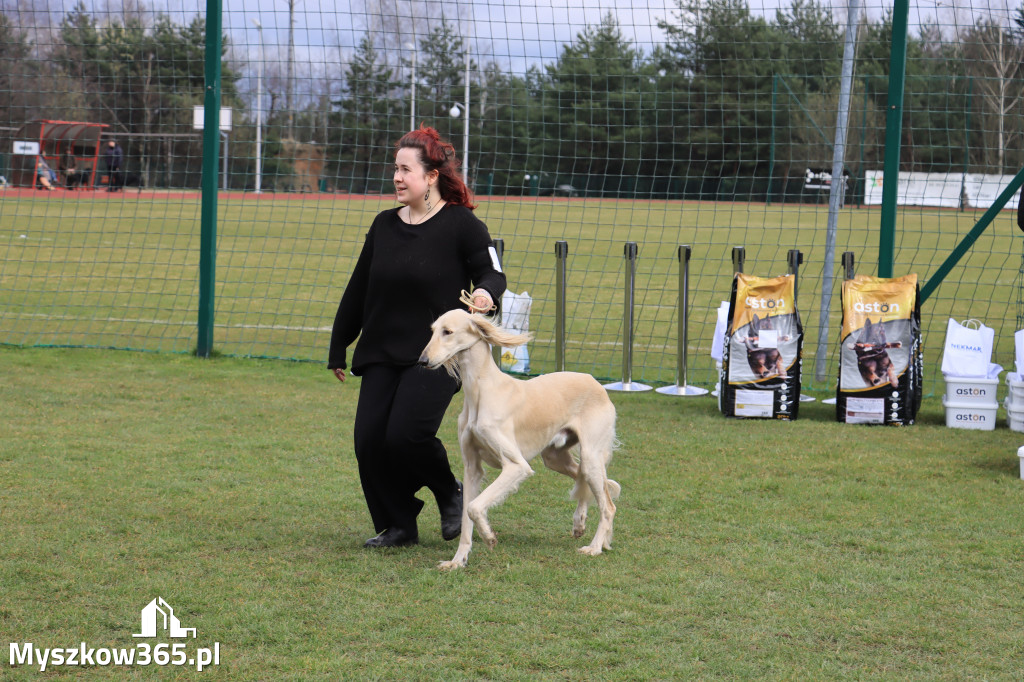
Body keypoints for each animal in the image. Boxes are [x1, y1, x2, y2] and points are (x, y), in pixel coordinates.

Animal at [417, 307, 622, 569]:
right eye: (433, 331)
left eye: (448, 332)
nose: (422, 361)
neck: (480, 392)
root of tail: (594, 381)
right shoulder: (472, 468)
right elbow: (466, 516)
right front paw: (458, 560)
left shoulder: (517, 466)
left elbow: (474, 507)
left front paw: (489, 536)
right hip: (555, 457)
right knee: (584, 480)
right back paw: (582, 523)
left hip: (590, 455)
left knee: (608, 505)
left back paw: (595, 547)